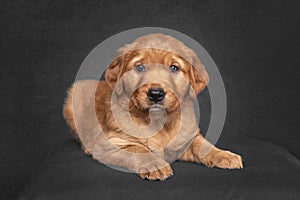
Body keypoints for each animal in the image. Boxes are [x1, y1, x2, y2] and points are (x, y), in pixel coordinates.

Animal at [62, 33, 241, 180]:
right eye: (140, 67)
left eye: (174, 67)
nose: (155, 94)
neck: (158, 121)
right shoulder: (109, 143)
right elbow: (139, 149)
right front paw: (155, 164)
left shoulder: (187, 138)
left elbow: (203, 144)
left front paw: (224, 155)